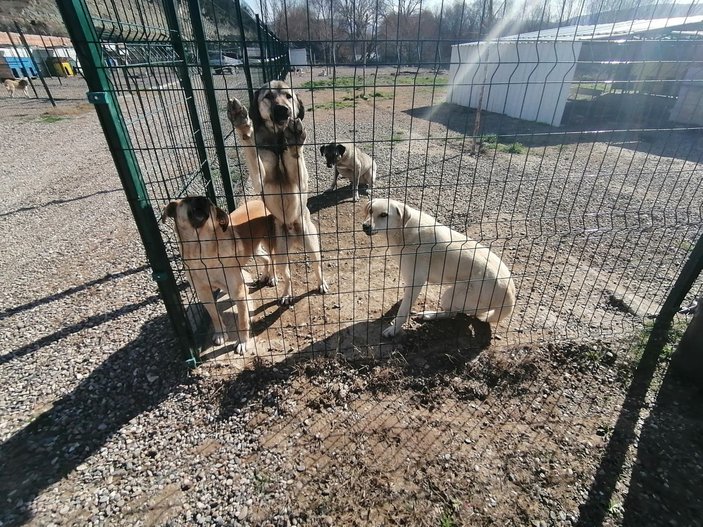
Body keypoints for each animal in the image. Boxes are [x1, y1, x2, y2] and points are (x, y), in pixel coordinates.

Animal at [162, 196, 276, 352]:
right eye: (186, 200)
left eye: (210, 203)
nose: (202, 199)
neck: (202, 252)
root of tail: (259, 201)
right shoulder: (204, 294)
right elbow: (214, 315)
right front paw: (220, 333)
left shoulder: (239, 293)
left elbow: (242, 321)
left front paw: (243, 342)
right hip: (254, 247)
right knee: (266, 258)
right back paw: (264, 275)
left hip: (270, 241)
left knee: (273, 259)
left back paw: (272, 277)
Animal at [230, 81, 332, 308]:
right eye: (268, 96)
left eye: (288, 96)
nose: (283, 110)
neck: (277, 142)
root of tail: (293, 234)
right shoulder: (259, 176)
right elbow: (250, 148)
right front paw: (243, 125)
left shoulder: (300, 180)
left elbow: (296, 155)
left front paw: (294, 139)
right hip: (281, 254)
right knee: (287, 275)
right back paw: (285, 293)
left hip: (312, 245)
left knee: (317, 266)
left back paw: (321, 284)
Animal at [364, 198, 516, 338]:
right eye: (370, 210)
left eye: (384, 215)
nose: (365, 226)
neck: (403, 230)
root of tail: (510, 295)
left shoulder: (416, 281)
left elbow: (403, 311)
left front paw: (394, 329)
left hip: (452, 295)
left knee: (453, 313)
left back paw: (430, 315)